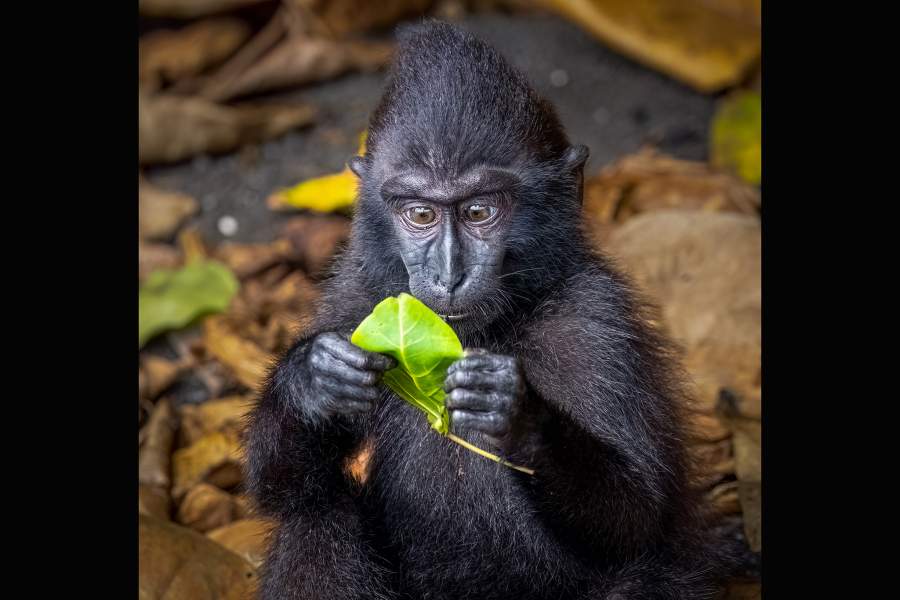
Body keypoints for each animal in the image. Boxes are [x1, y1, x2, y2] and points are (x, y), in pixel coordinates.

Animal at [246, 21, 732, 600]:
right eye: (421, 215)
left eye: (479, 211)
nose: (448, 274)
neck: (492, 331)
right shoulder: (355, 299)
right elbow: (279, 489)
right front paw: (314, 377)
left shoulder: (595, 325)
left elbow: (635, 518)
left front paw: (518, 415)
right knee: (314, 516)